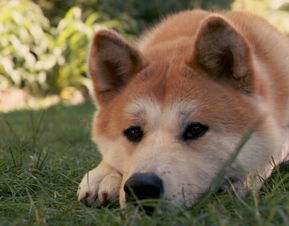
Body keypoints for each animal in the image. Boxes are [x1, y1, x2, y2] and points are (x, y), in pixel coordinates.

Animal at [76, 9, 288, 209]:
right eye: (133, 132)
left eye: (195, 129)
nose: (142, 187)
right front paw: (103, 175)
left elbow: (272, 151)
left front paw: (245, 178)